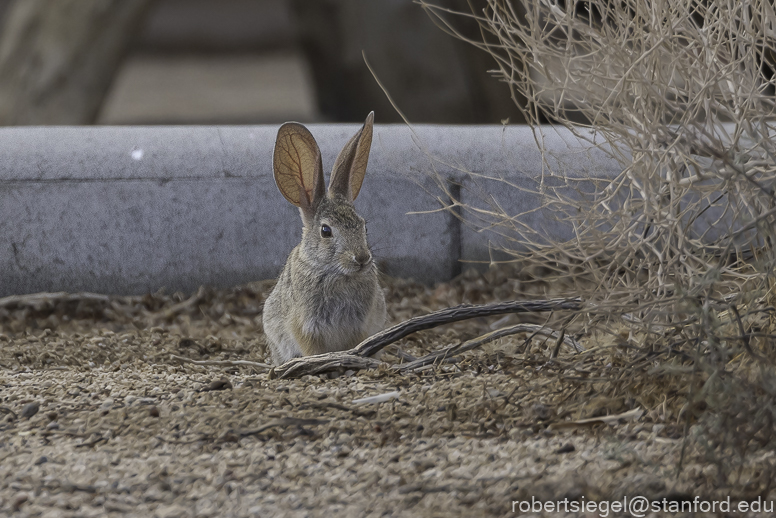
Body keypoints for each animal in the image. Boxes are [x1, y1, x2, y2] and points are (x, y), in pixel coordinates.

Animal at [264, 112, 388, 366]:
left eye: (364, 225)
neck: (335, 273)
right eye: (326, 231)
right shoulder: (306, 326)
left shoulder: (360, 325)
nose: (361, 258)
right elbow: (313, 348)